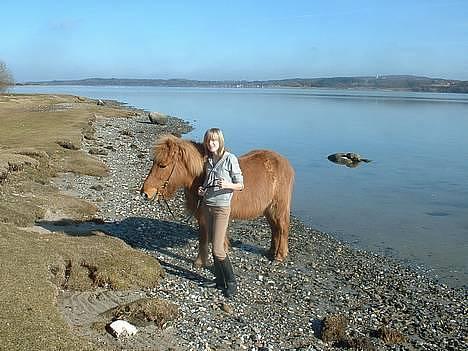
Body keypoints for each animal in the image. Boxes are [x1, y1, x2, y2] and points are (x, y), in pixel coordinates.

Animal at [139, 135, 294, 266]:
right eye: (154, 162)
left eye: (163, 165)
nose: (145, 193)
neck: (203, 178)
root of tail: (285, 163)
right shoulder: (202, 217)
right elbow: (203, 239)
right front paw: (200, 262)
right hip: (268, 209)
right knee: (274, 228)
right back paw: (271, 252)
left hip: (278, 207)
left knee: (282, 227)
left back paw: (279, 255)